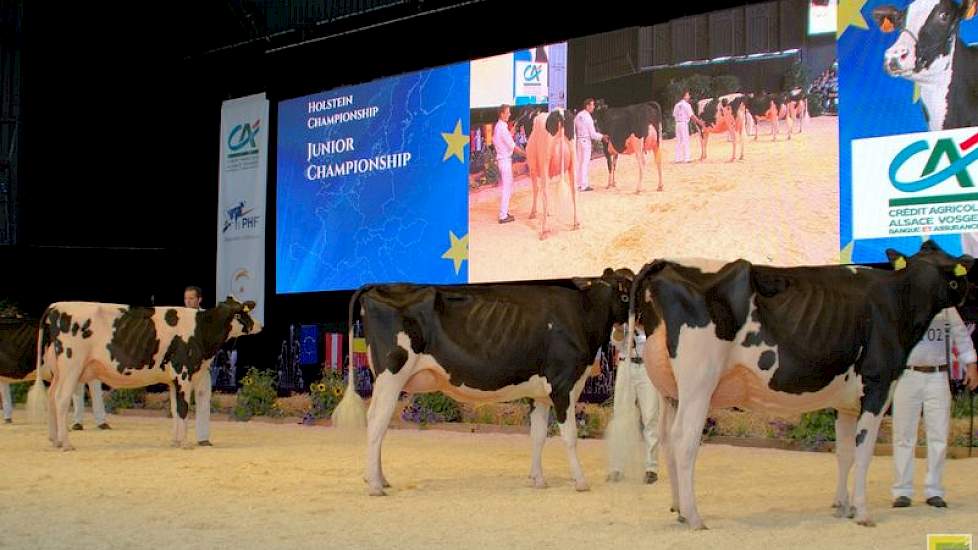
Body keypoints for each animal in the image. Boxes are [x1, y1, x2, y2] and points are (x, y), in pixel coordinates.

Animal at [334, 270, 632, 498]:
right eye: (628, 293)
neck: (582, 315)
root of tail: (378, 286)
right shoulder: (564, 386)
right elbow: (569, 437)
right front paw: (581, 482)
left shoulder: (540, 394)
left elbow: (537, 436)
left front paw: (538, 480)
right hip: (391, 374)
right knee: (376, 422)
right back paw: (375, 485)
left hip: (387, 379)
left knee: (379, 423)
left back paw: (380, 479)